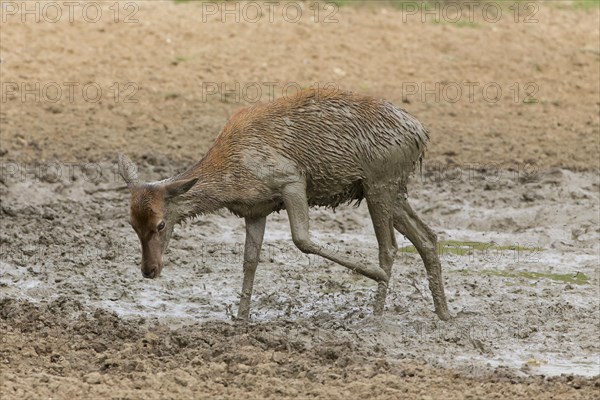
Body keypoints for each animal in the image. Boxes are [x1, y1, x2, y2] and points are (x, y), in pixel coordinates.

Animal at [117, 89, 450, 320]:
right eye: (131, 223)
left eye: (161, 223)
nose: (149, 270)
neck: (232, 176)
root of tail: (422, 133)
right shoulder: (255, 209)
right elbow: (250, 260)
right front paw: (240, 318)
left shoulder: (291, 179)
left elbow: (301, 239)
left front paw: (375, 275)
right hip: (394, 189)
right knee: (427, 237)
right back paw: (444, 314)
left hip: (379, 182)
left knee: (389, 246)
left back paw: (377, 311)